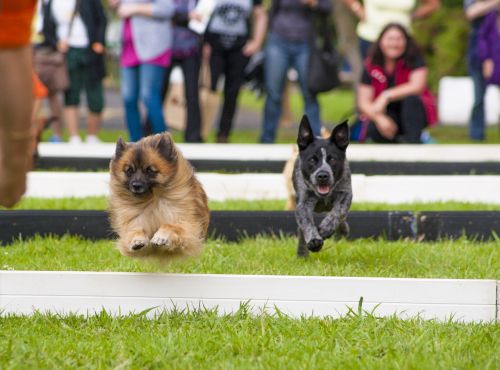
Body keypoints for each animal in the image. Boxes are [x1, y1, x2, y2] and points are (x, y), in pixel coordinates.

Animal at [292, 115, 352, 258]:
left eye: (332, 159)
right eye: (312, 160)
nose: (323, 175)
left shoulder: (346, 193)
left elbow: (338, 211)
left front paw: (326, 229)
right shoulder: (303, 202)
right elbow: (306, 222)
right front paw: (314, 241)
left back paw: (342, 230)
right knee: (301, 229)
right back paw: (302, 254)